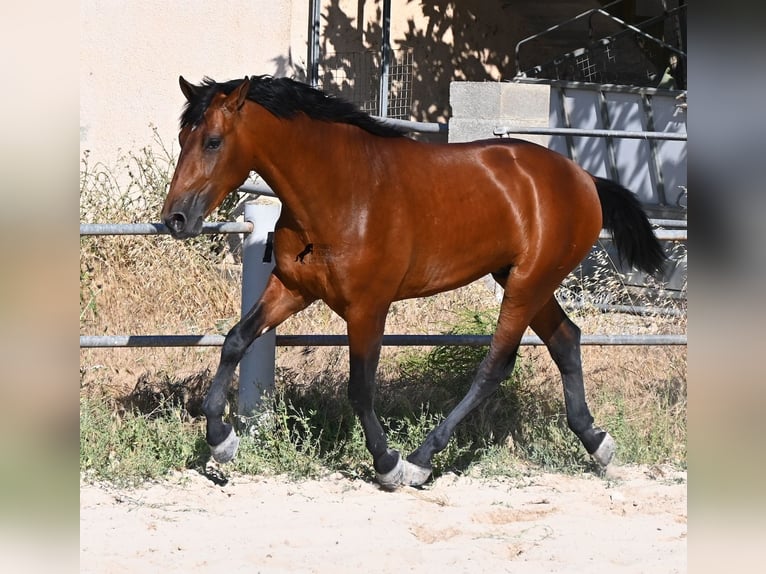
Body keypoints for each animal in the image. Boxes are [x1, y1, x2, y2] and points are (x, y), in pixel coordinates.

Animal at [161, 75, 665, 489]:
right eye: (184, 136)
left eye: (212, 141)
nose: (176, 219)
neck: (342, 190)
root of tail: (583, 178)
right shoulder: (292, 288)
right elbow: (235, 340)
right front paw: (221, 439)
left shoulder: (368, 307)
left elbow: (360, 387)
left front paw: (387, 463)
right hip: (524, 280)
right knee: (566, 340)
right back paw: (597, 442)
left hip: (528, 282)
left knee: (495, 365)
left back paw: (422, 459)